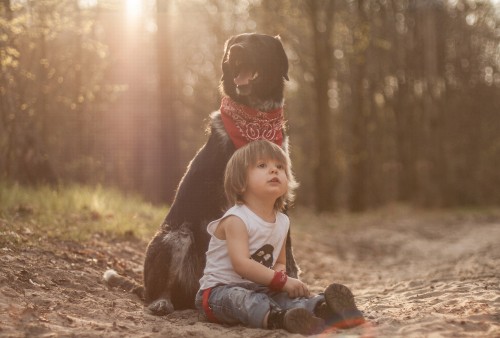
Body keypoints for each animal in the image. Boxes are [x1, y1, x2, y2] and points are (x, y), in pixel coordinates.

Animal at [104, 33, 298, 316]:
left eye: (259, 43)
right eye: (235, 43)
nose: (236, 51)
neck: (256, 120)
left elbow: (288, 245)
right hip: (176, 236)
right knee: (162, 289)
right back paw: (162, 301)